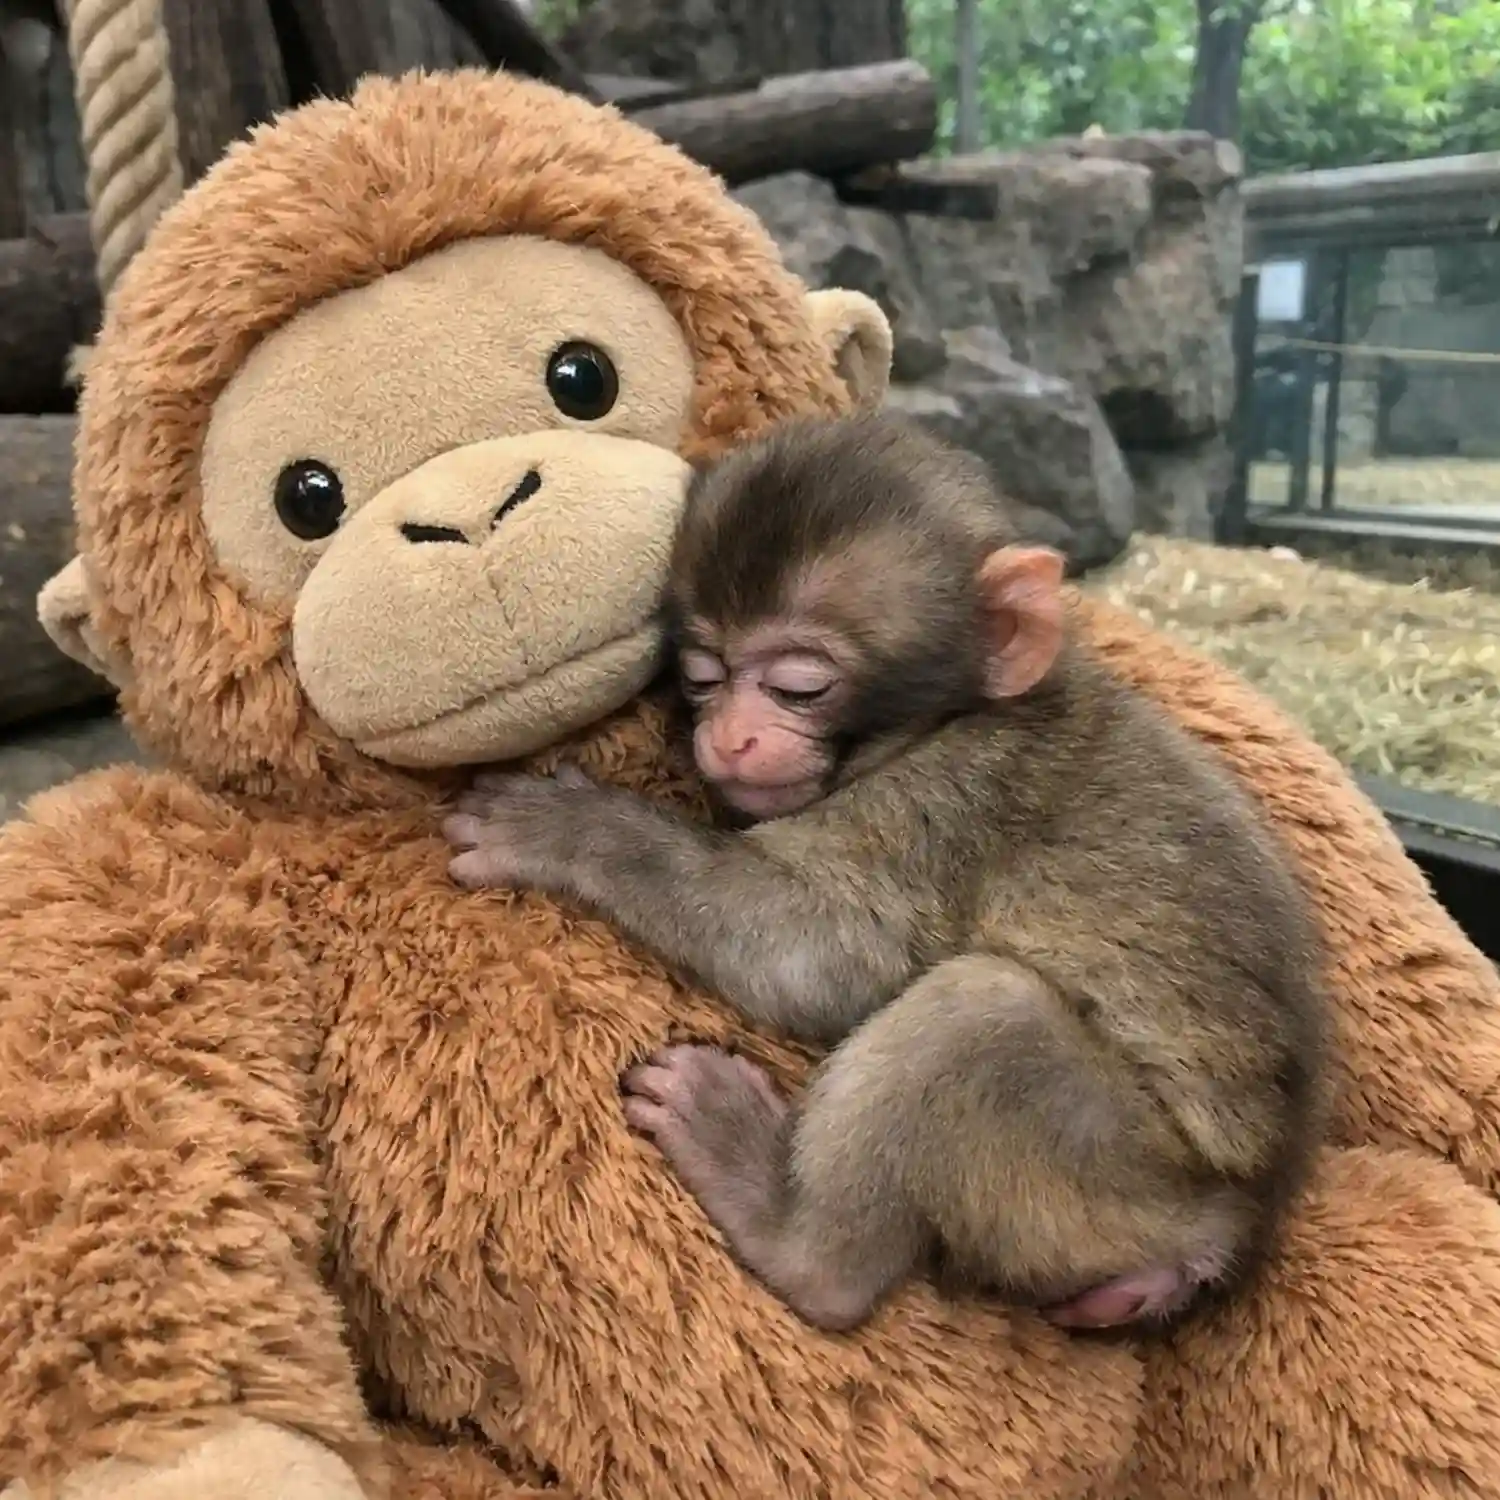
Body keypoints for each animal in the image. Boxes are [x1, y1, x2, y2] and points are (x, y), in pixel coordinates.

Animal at [442, 412, 1329, 1335]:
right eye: (704, 677)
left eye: (800, 686)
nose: (730, 738)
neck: (947, 720)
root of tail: (1227, 1231)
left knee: (980, 1015)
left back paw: (787, 1229)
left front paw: (572, 830)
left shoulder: (938, 807)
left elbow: (828, 957)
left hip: (1110, 1181)